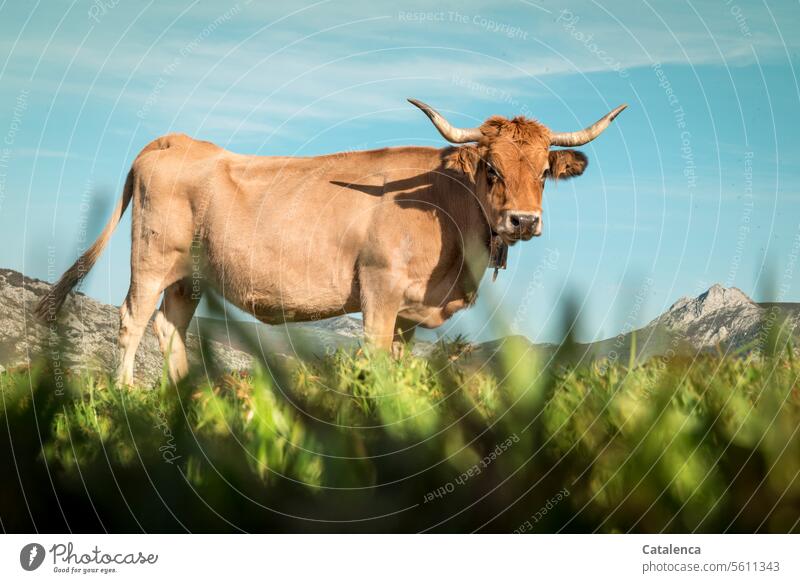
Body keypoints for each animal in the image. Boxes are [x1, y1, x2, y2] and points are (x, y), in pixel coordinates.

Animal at [36, 98, 624, 386]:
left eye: (544, 172)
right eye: (491, 169)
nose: (523, 221)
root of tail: (173, 140)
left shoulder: (410, 311)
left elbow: (400, 362)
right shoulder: (379, 290)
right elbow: (375, 357)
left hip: (190, 276)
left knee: (169, 326)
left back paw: (185, 396)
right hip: (151, 260)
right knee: (132, 320)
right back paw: (127, 393)